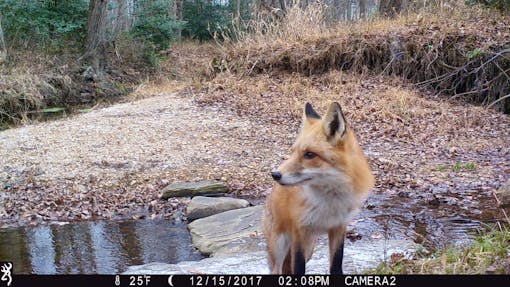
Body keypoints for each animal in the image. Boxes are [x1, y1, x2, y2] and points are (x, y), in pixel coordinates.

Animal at [262, 102, 374, 276]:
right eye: (293, 152)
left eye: (309, 154)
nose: (275, 174)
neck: (329, 201)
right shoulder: (300, 231)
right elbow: (298, 269)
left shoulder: (338, 227)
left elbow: (336, 265)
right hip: (280, 246)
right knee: (277, 269)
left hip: (310, 248)